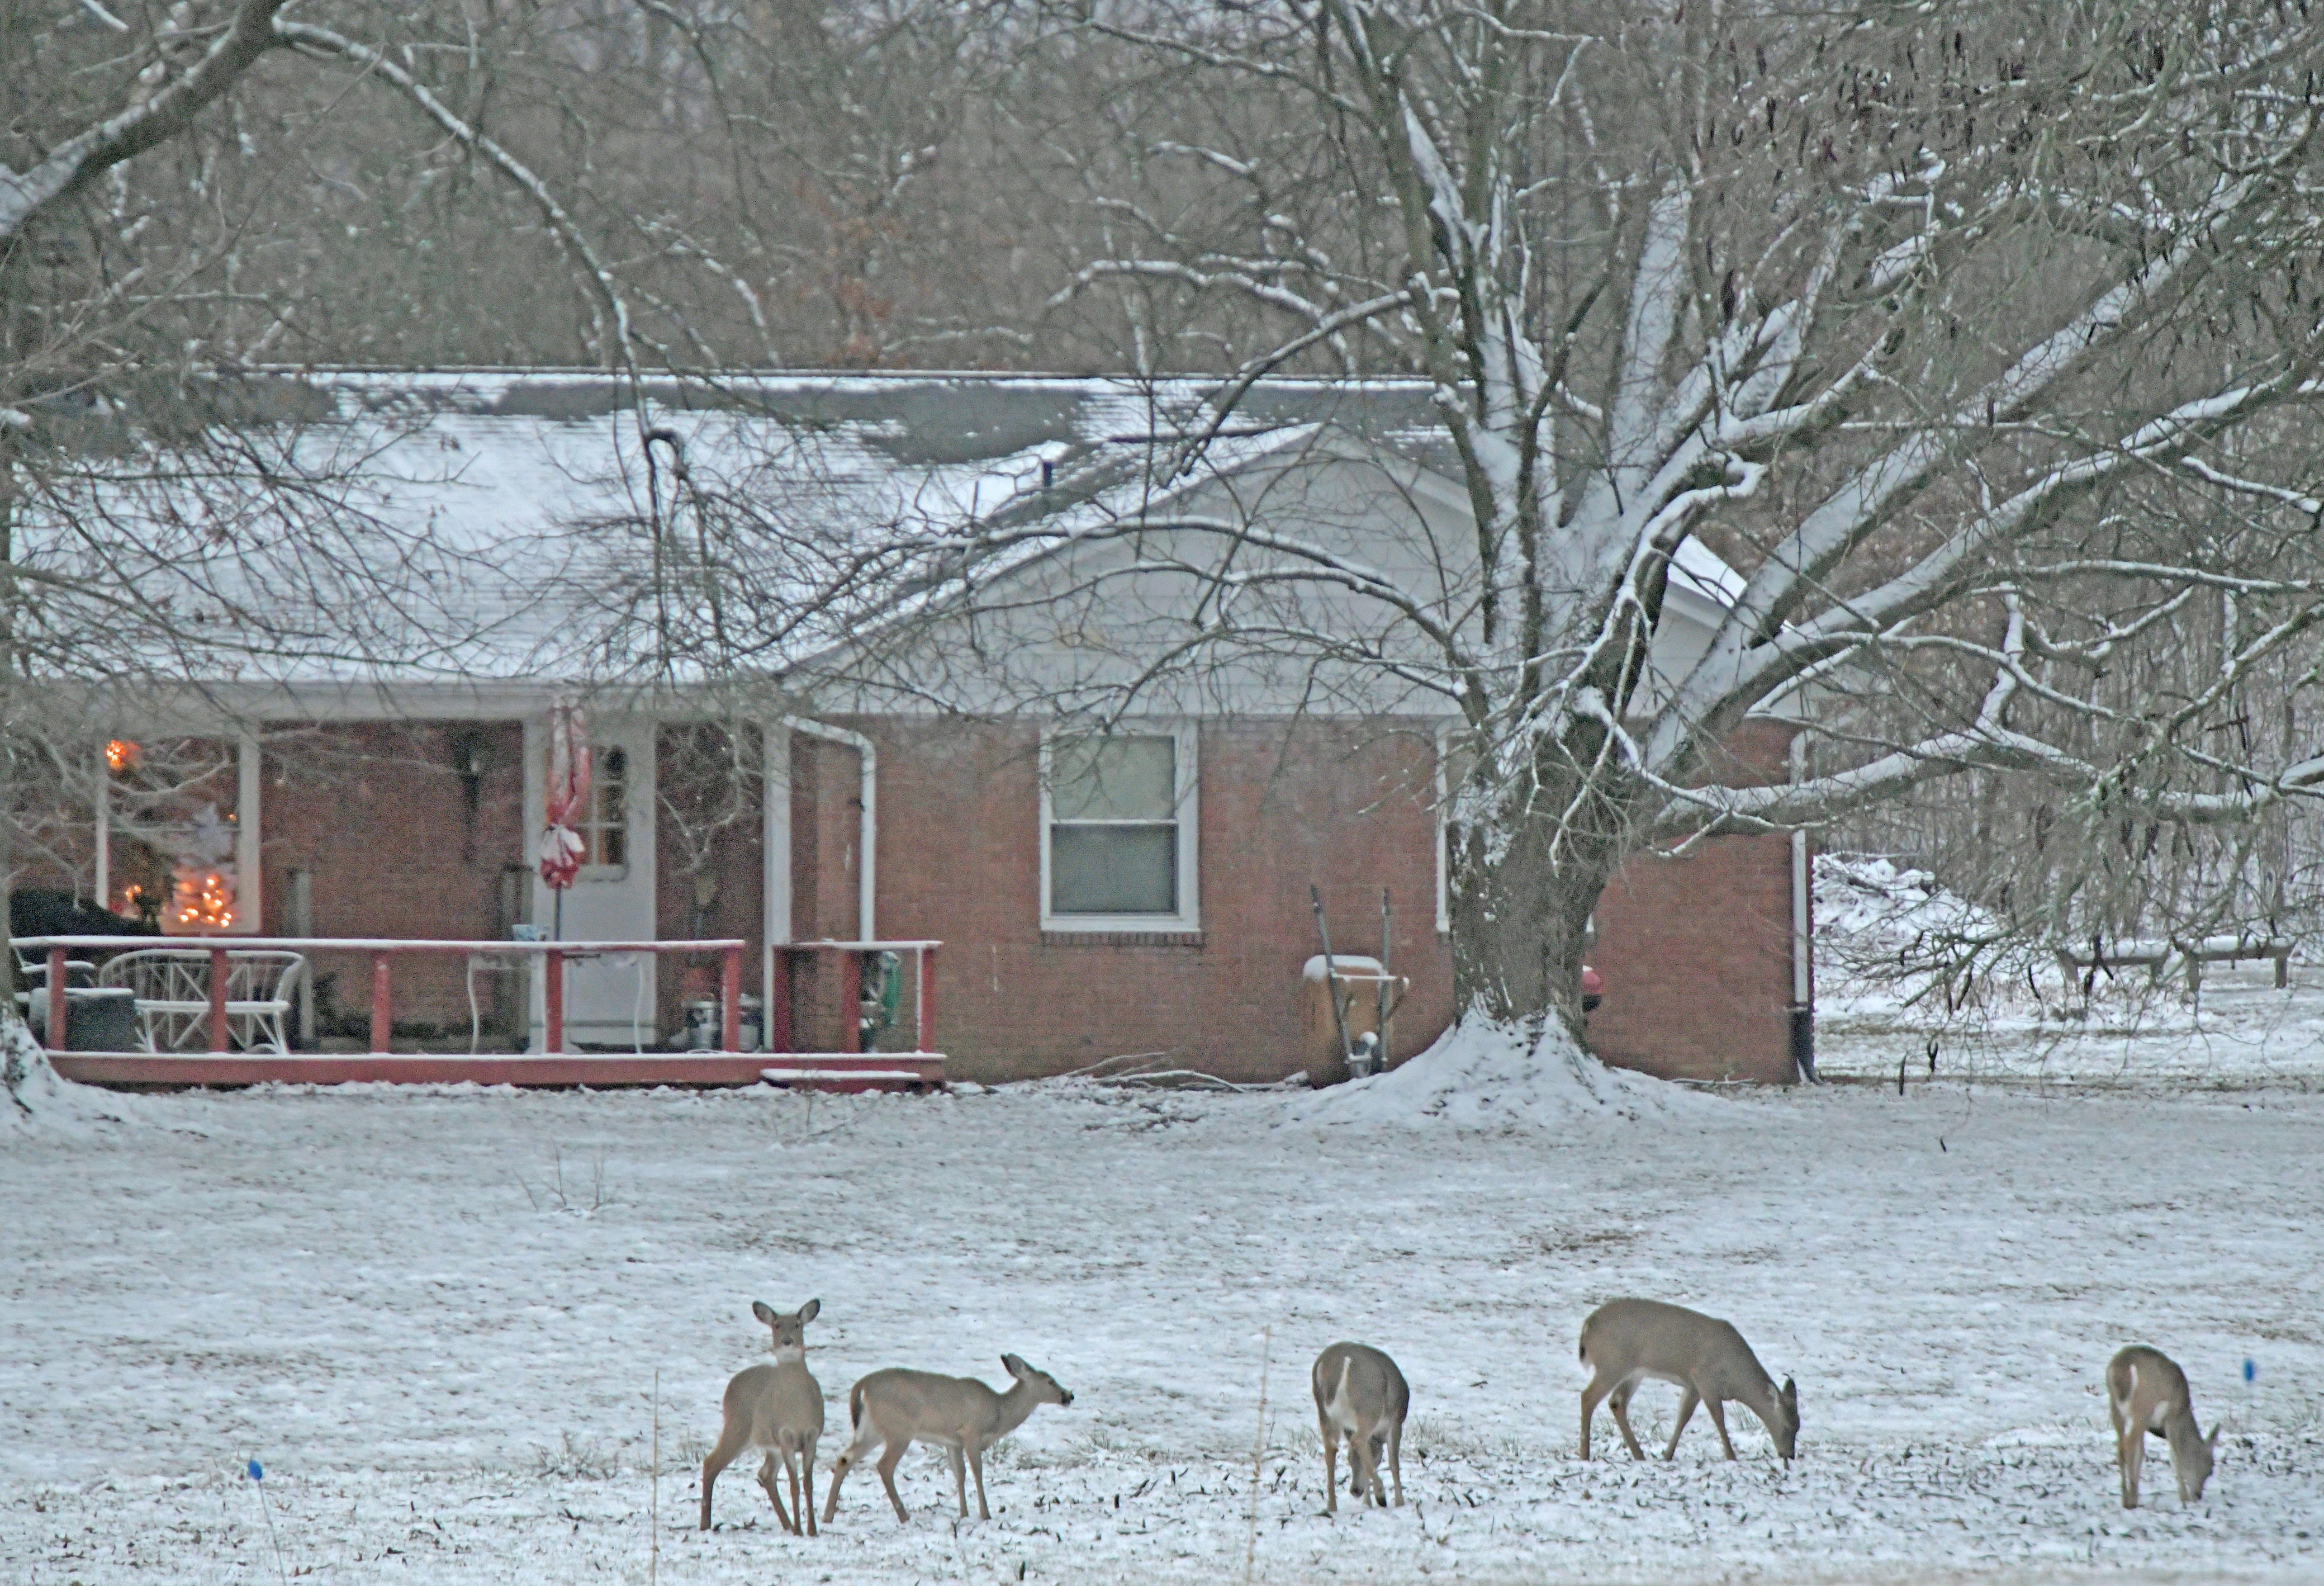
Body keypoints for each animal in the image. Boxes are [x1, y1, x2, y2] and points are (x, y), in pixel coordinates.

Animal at [697, 1293, 827, 1535]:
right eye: (777, 1326)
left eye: (798, 1324)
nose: (787, 1342)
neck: (798, 1410)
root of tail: (732, 1385)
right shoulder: (784, 1435)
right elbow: (794, 1484)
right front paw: (800, 1531)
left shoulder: (813, 1434)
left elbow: (808, 1483)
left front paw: (812, 1531)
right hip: (738, 1426)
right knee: (711, 1462)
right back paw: (705, 1525)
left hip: (765, 1442)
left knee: (765, 1474)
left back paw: (787, 1525)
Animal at [818, 1348, 1069, 1516]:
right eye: (1050, 1381)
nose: (1070, 1396)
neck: (999, 1412)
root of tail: (861, 1386)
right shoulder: (972, 1432)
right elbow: (977, 1472)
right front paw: (985, 1514)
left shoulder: (953, 1442)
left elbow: (960, 1475)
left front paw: (964, 1514)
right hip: (899, 1429)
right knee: (884, 1466)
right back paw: (904, 1516)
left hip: (872, 1429)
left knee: (845, 1458)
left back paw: (828, 1515)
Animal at [1320, 1339, 1403, 1516]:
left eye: (1350, 1460)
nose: (1355, 1491)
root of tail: (1342, 1363)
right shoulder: (1396, 1420)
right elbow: (1394, 1463)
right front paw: (1400, 1503)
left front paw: (1367, 1504)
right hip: (1369, 1407)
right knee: (1358, 1440)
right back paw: (1381, 1495)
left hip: (1326, 1415)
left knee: (1331, 1450)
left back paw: (1332, 1506)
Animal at [1580, 1293, 1794, 1460]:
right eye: (1787, 1427)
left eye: (1798, 1425)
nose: (1789, 1455)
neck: (1734, 1377)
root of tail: (1588, 1325)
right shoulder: (1705, 1379)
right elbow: (1718, 1417)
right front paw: (1732, 1456)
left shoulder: (1693, 1386)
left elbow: (1684, 1416)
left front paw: (1667, 1455)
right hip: (1612, 1365)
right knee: (1588, 1397)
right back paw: (1585, 1455)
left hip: (1632, 1373)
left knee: (1617, 1402)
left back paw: (1639, 1455)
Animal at [2110, 1348, 2212, 1507]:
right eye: (2210, 1469)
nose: (2198, 1495)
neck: (2184, 1412)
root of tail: (2123, 1367)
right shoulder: (2172, 1418)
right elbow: (2176, 1455)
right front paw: (2184, 1498)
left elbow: (2141, 1452)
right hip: (2143, 1407)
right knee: (2129, 1445)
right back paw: (2130, 1501)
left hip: (2117, 1408)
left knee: (2121, 1447)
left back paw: (2126, 1498)